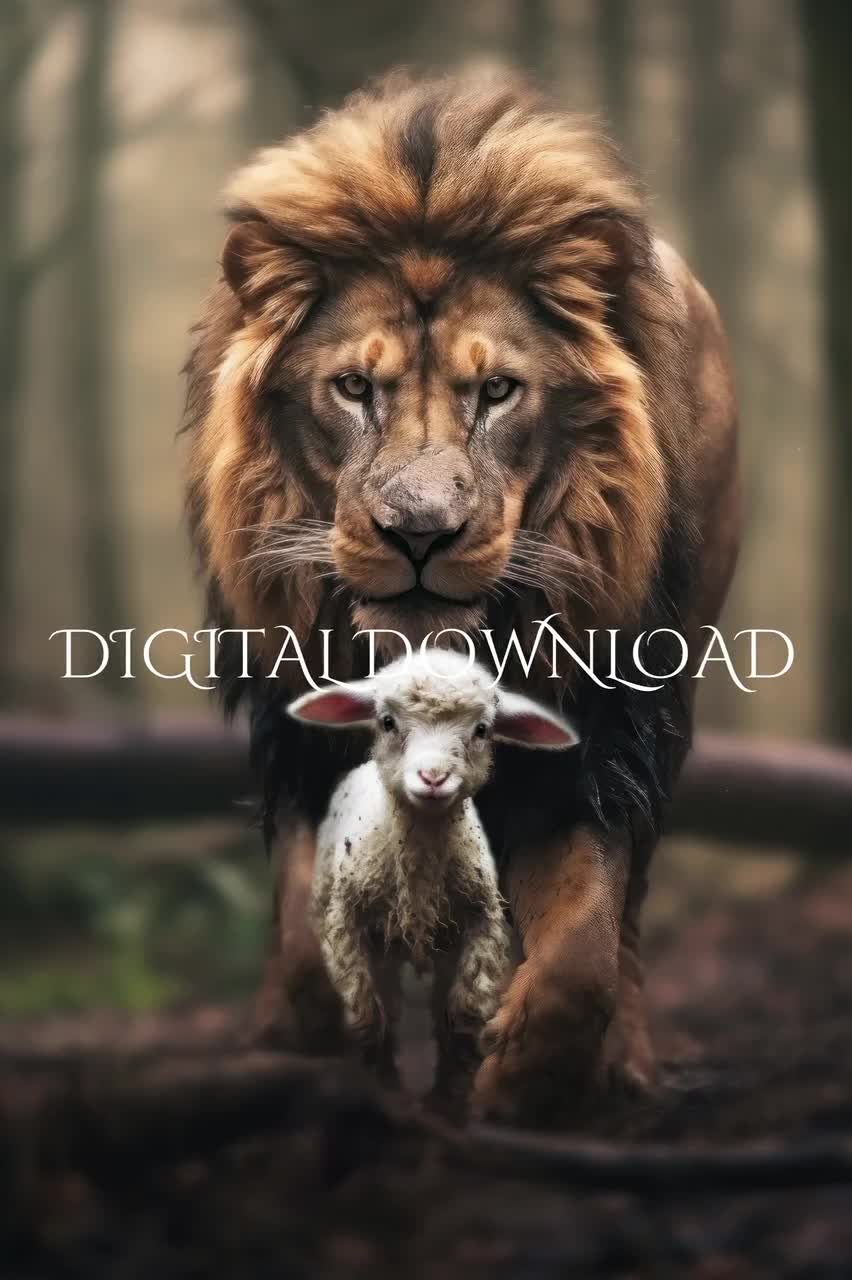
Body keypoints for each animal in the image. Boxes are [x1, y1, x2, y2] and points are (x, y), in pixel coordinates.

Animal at [287, 649, 579, 1109]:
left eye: (481, 729)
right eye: (387, 721)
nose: (433, 778)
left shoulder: (482, 923)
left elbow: (461, 1017)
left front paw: (447, 1103)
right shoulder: (345, 924)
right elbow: (367, 1015)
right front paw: (382, 1088)